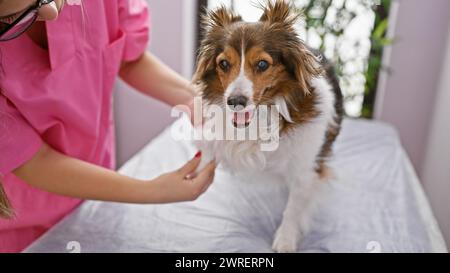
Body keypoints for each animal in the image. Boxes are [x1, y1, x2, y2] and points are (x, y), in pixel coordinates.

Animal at [192, 0, 342, 252]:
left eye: (262, 64)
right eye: (224, 63)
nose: (235, 102)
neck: (264, 114)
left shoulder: (305, 169)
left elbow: (293, 208)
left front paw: (286, 238)